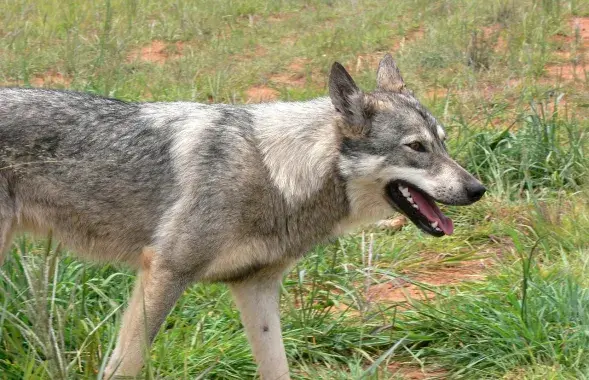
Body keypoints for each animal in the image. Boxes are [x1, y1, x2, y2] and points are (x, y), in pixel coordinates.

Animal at [0, 55, 484, 378]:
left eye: (443, 143)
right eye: (416, 147)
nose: (478, 189)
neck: (275, 173)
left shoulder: (256, 288)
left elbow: (278, 369)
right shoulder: (165, 272)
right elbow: (125, 365)